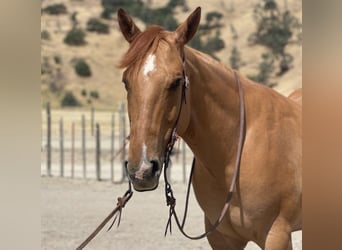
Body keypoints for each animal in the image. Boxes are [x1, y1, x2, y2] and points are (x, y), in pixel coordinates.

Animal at [117, 6, 302, 249]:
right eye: (126, 82)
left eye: (176, 82)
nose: (142, 170)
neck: (238, 149)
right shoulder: (222, 238)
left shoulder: (277, 235)